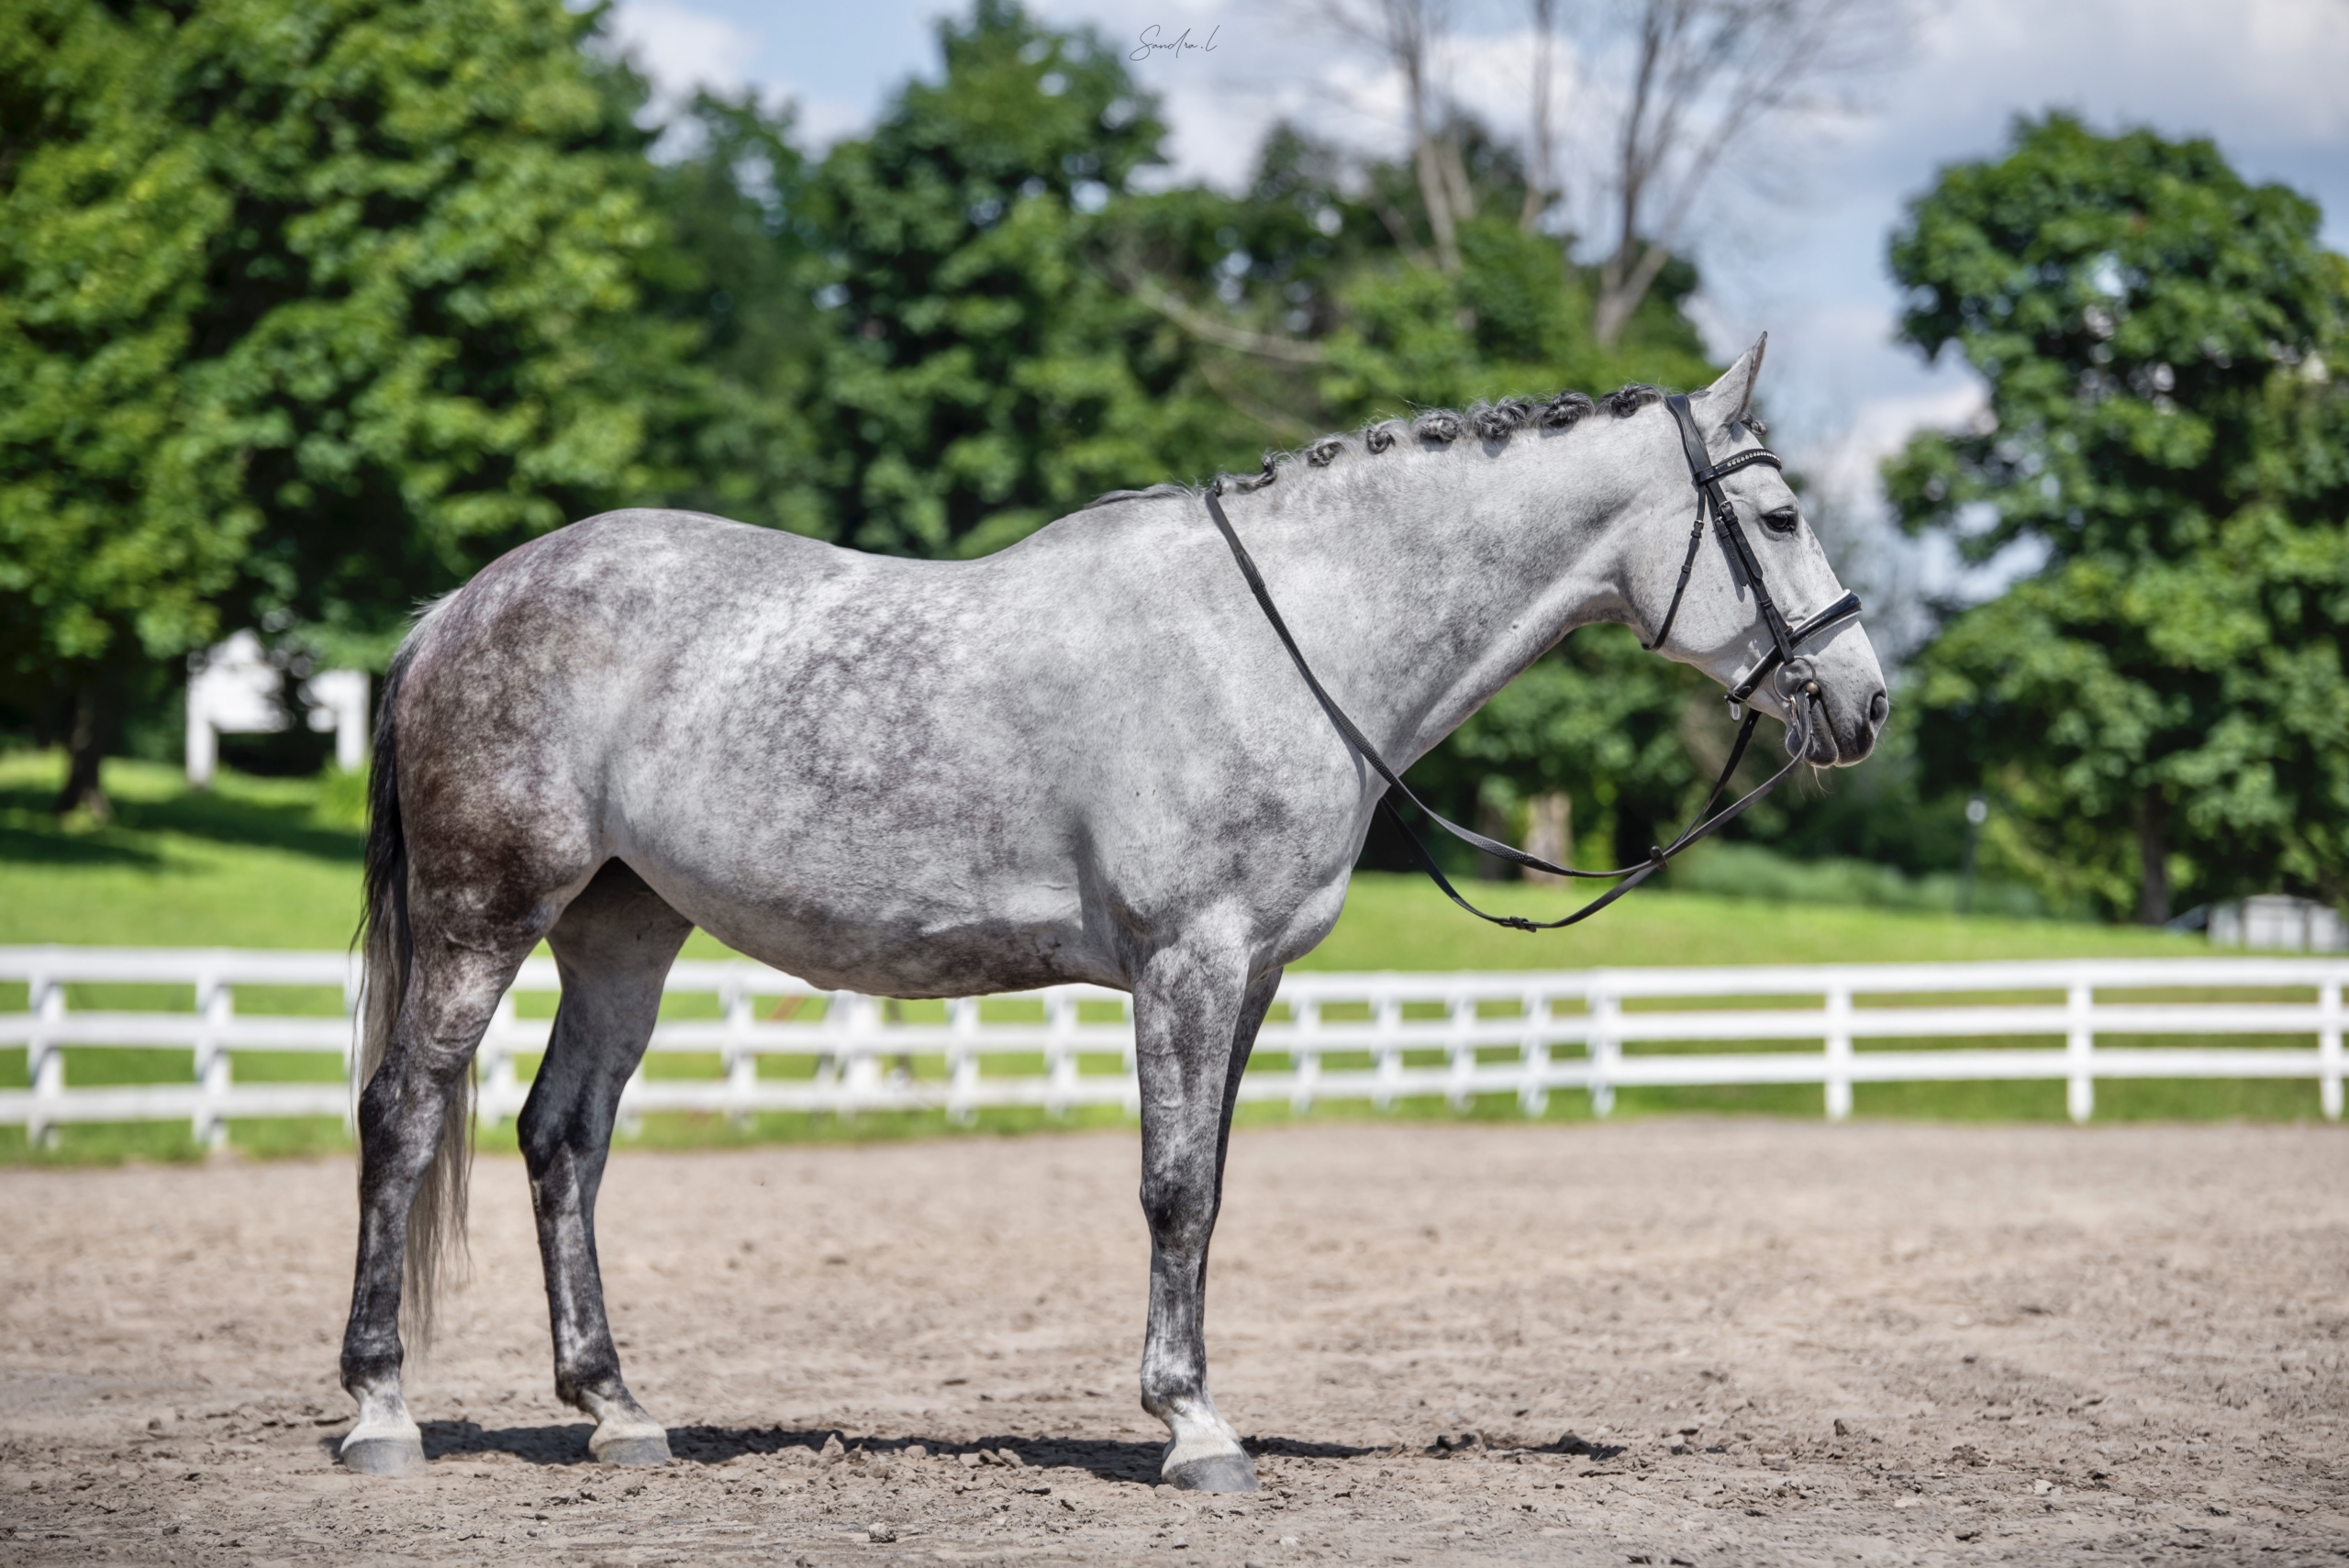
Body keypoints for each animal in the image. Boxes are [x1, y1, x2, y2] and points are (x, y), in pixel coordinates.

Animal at [336, 338, 1888, 1493]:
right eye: (1777, 517)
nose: (1866, 701)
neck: (1287, 636)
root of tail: (457, 605)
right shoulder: (1187, 960)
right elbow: (1173, 1187)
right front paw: (1194, 1429)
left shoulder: (1251, 975)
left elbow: (1209, 1186)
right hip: (485, 917)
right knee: (402, 1116)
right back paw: (381, 1410)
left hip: (622, 929)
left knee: (563, 1139)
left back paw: (616, 1409)